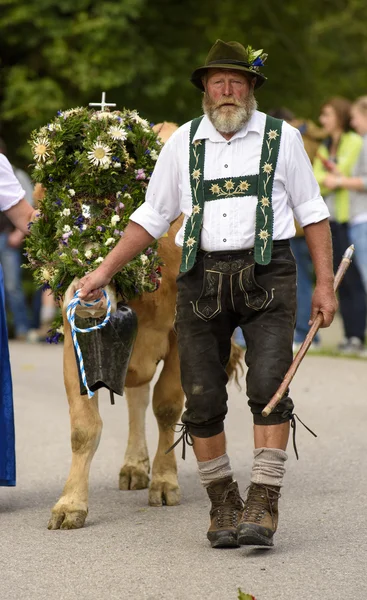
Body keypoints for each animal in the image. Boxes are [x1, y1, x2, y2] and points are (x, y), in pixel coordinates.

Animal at [26, 109, 244, 528]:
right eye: (59, 219)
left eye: (122, 213)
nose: (86, 294)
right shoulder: (72, 340)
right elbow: (84, 427)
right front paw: (70, 504)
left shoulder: (179, 335)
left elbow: (168, 406)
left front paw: (165, 482)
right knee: (137, 397)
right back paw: (133, 466)